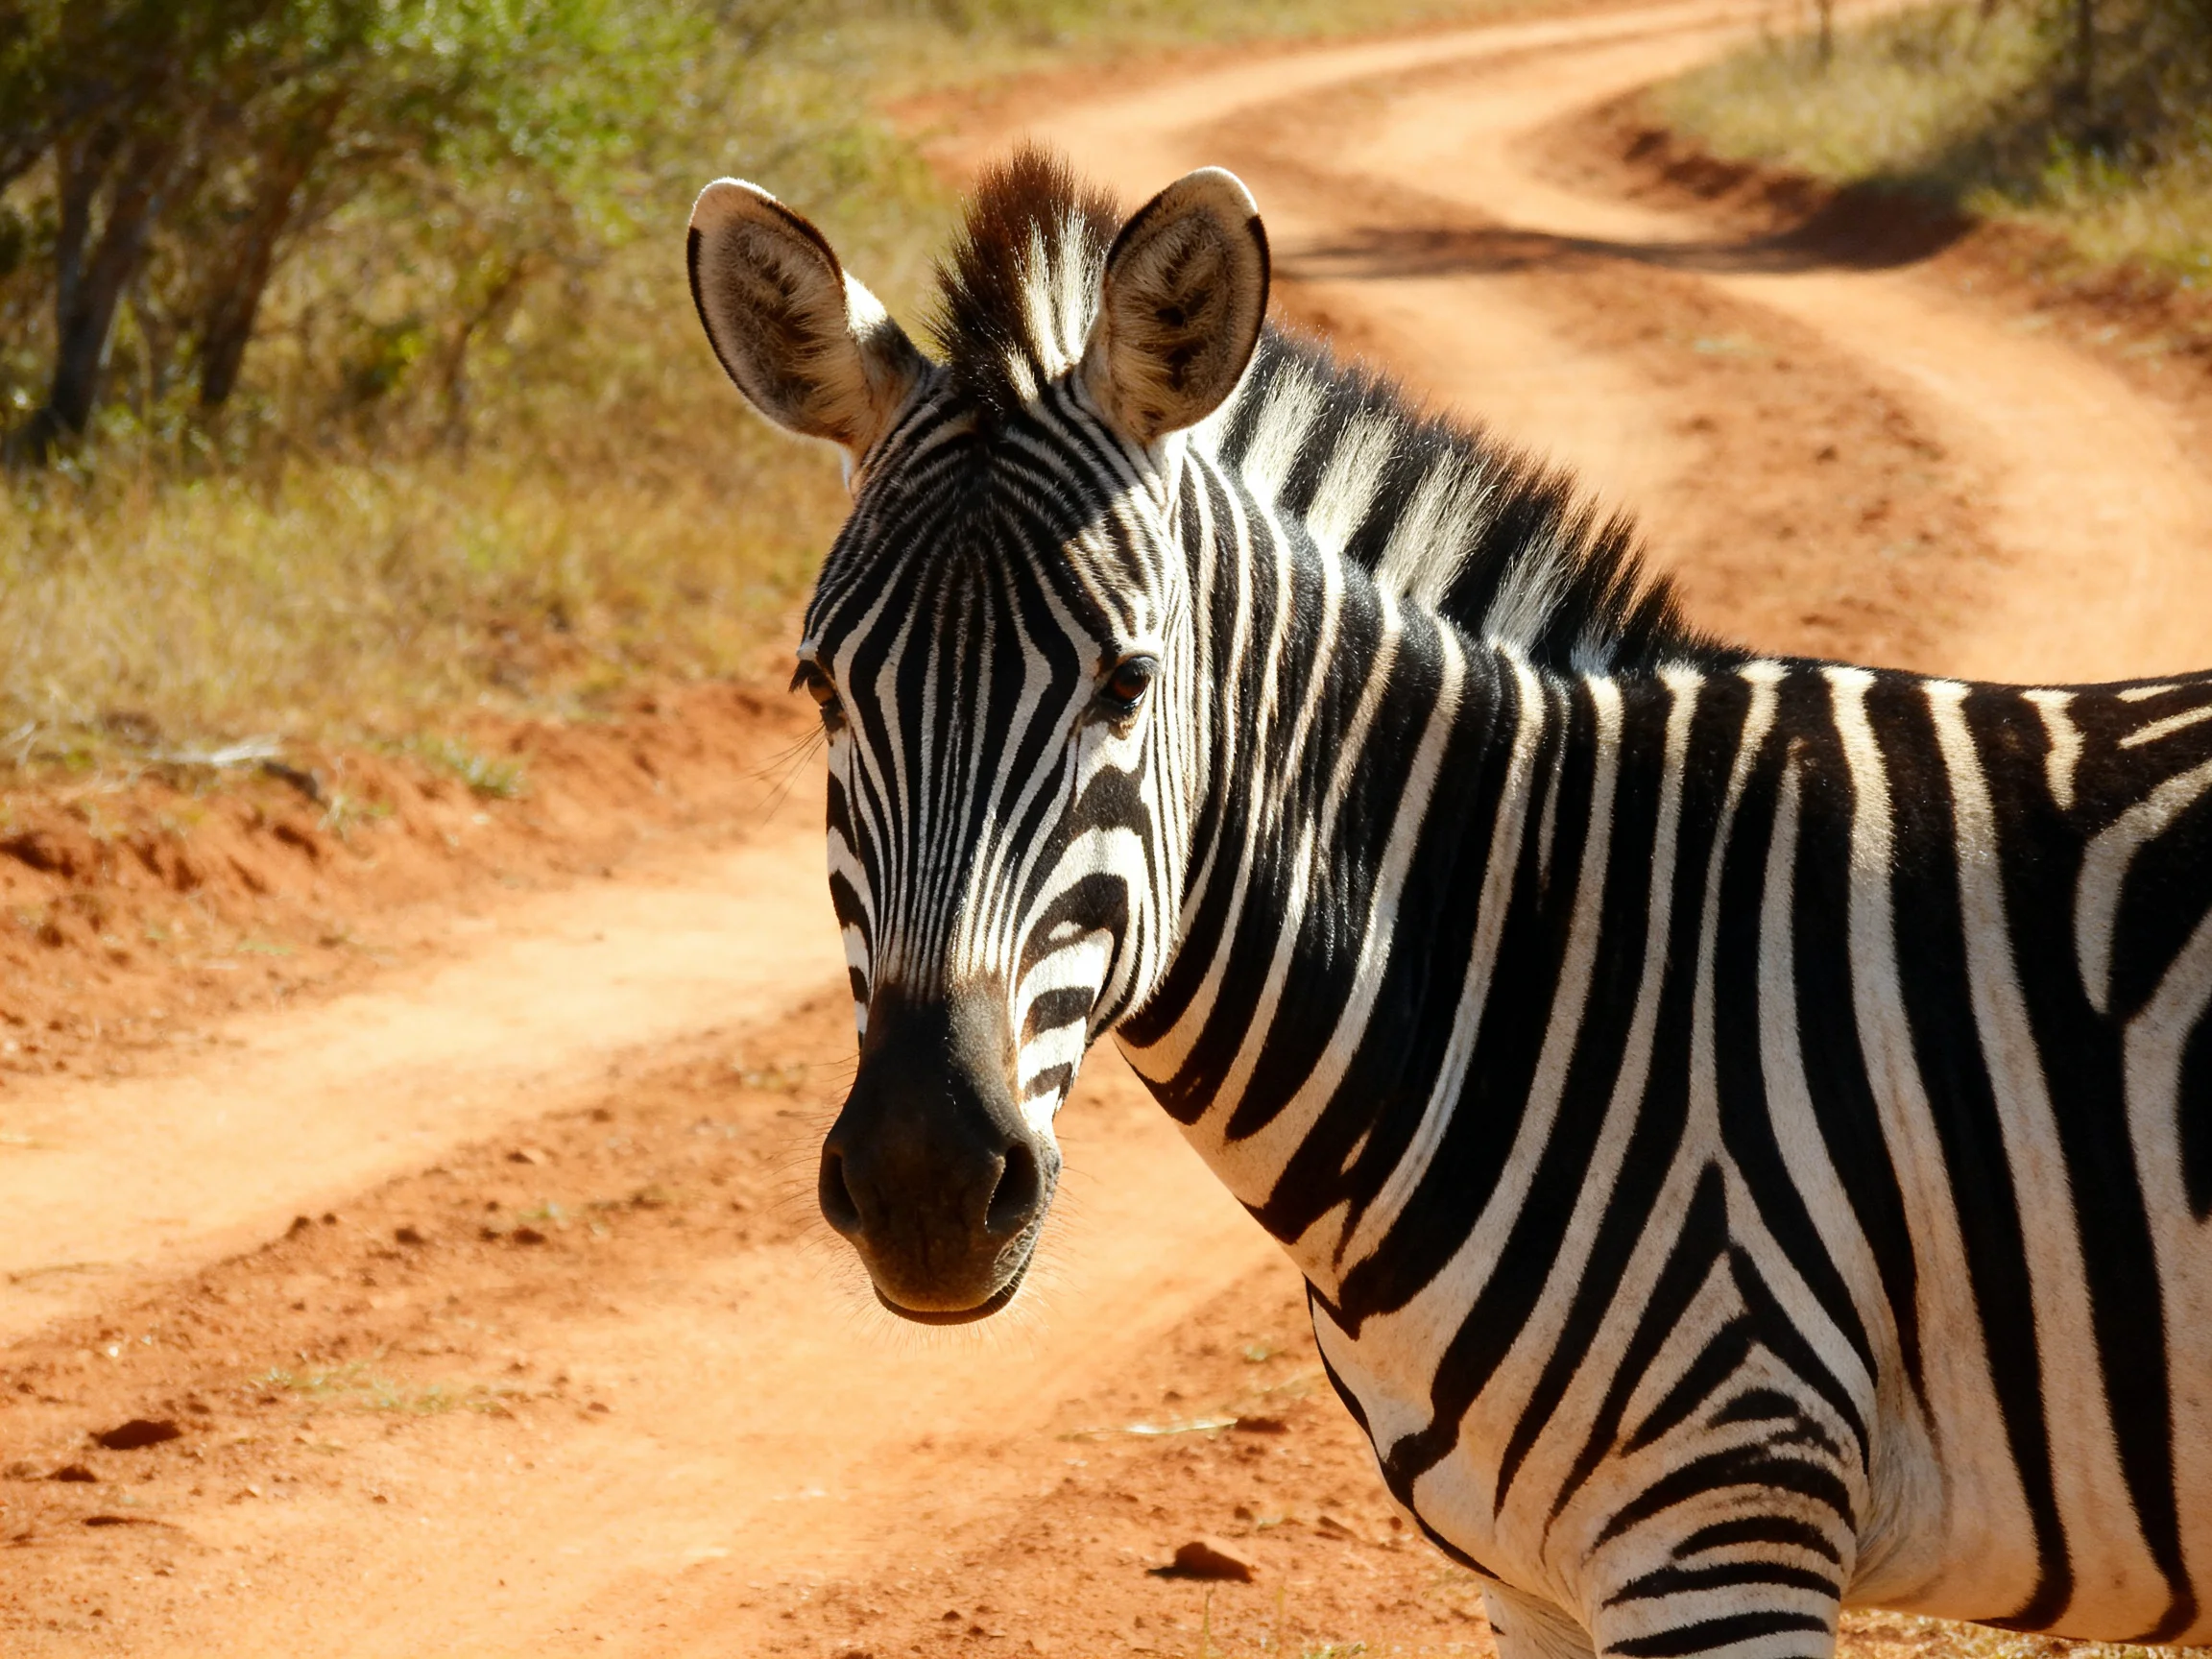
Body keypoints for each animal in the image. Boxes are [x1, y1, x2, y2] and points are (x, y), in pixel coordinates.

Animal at [686, 147, 2212, 1656]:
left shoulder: (1725, 1516)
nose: (924, 1187)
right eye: (822, 691)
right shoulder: (1531, 1575)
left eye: (1128, 682)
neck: (1538, 956)